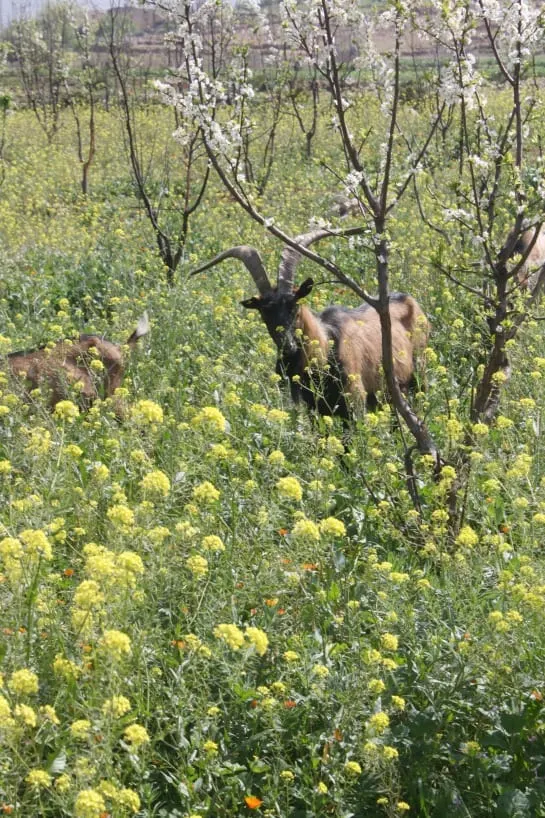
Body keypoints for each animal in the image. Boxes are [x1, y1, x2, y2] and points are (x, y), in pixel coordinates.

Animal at [191, 231, 430, 418]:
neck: (326, 343)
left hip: (418, 379)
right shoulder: (316, 409)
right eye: (264, 312)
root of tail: (409, 300)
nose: (288, 348)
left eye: (294, 306)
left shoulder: (355, 403)